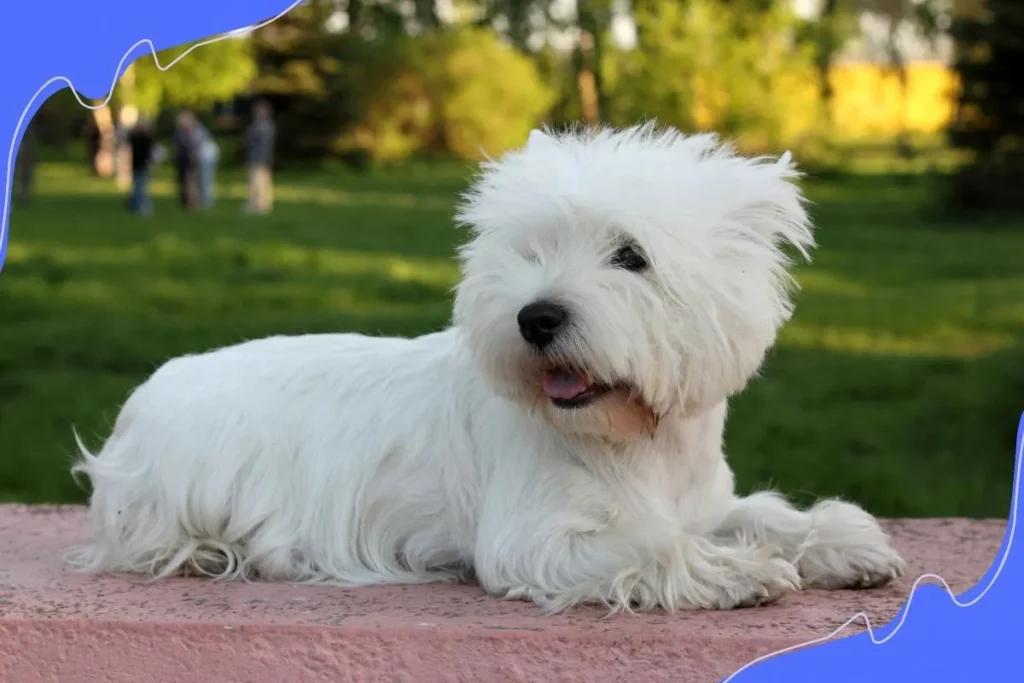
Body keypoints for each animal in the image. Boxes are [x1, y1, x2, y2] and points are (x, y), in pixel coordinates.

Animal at [70, 125, 905, 610]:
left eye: (631, 255)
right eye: (529, 250)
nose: (537, 318)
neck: (636, 439)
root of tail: (144, 394)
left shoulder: (698, 497)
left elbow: (760, 512)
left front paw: (843, 544)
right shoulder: (533, 536)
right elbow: (649, 544)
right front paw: (740, 572)